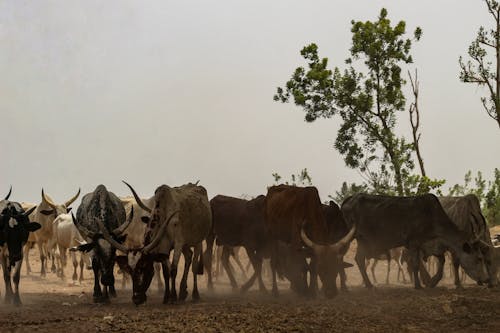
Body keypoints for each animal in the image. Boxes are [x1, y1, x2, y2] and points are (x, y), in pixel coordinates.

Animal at [340, 193, 488, 290]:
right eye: (479, 258)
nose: (485, 279)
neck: (432, 216)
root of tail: (348, 200)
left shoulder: (424, 245)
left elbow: (432, 262)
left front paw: (428, 282)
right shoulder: (413, 242)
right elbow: (416, 264)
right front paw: (418, 285)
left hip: (362, 240)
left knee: (358, 259)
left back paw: (365, 284)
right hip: (352, 235)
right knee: (349, 257)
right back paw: (355, 285)